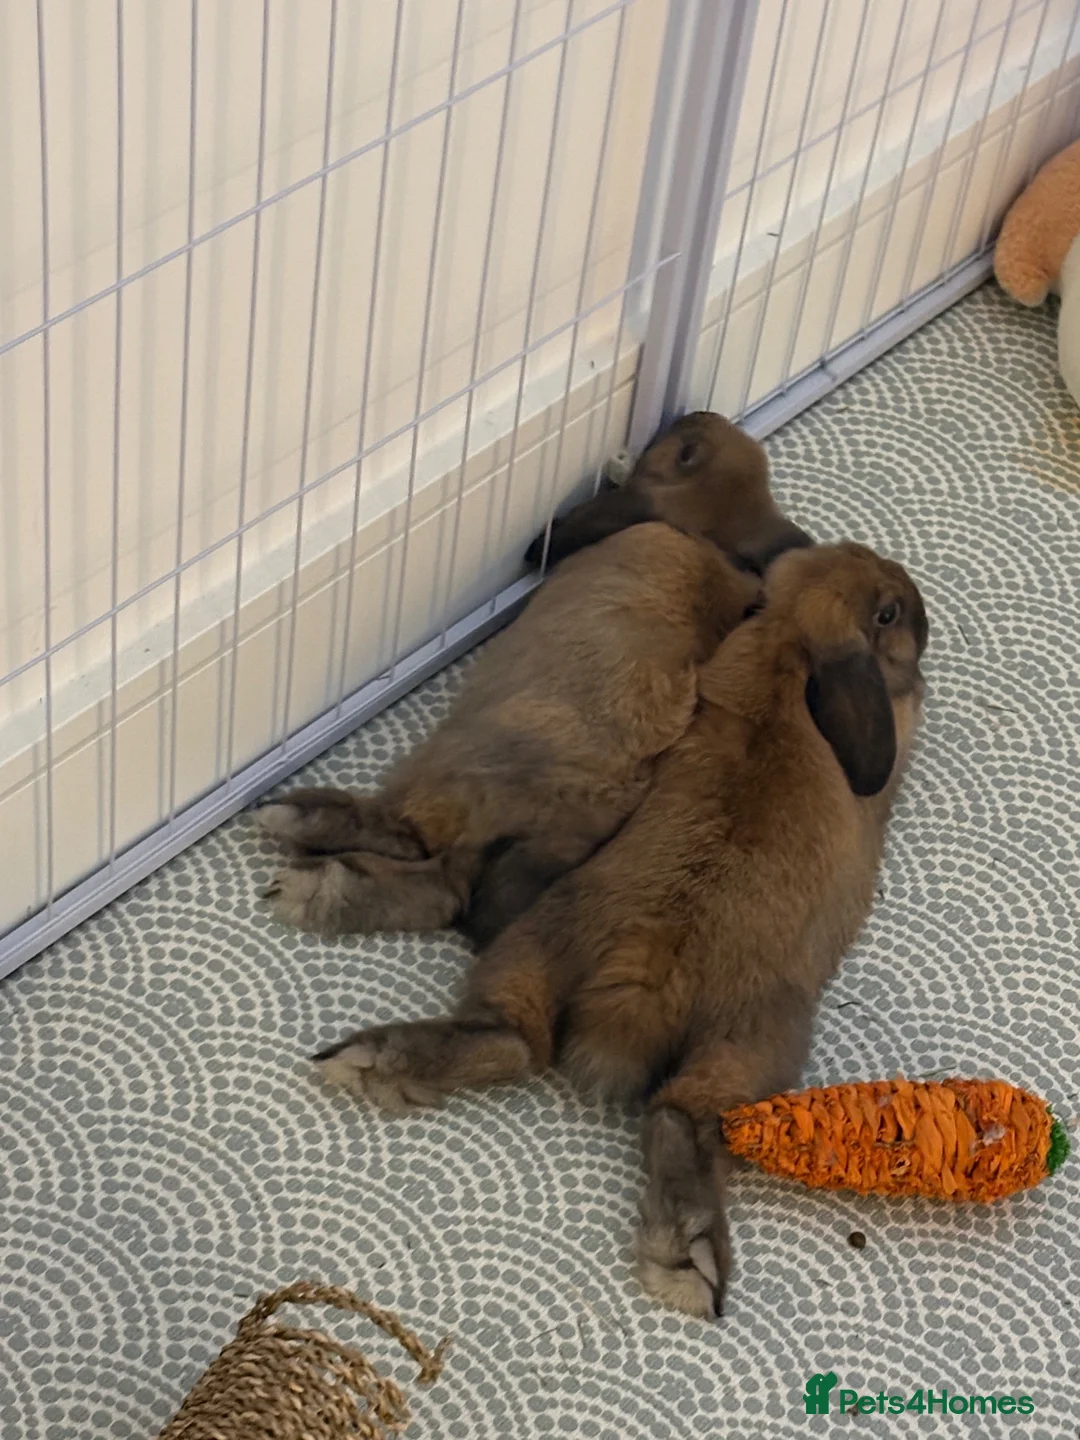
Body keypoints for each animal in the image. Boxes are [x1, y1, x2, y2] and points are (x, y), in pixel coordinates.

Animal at [257, 413, 812, 945]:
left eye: (686, 452)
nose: (696, 413)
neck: (709, 537)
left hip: (448, 774)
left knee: (413, 847)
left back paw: (303, 847)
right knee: (436, 886)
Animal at [312, 541, 929, 1319]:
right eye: (890, 611)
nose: (923, 613)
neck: (787, 650)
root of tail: (642, 978)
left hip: (538, 943)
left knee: (513, 1037)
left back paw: (372, 1058)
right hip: (760, 1039)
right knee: (681, 1117)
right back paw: (690, 1262)